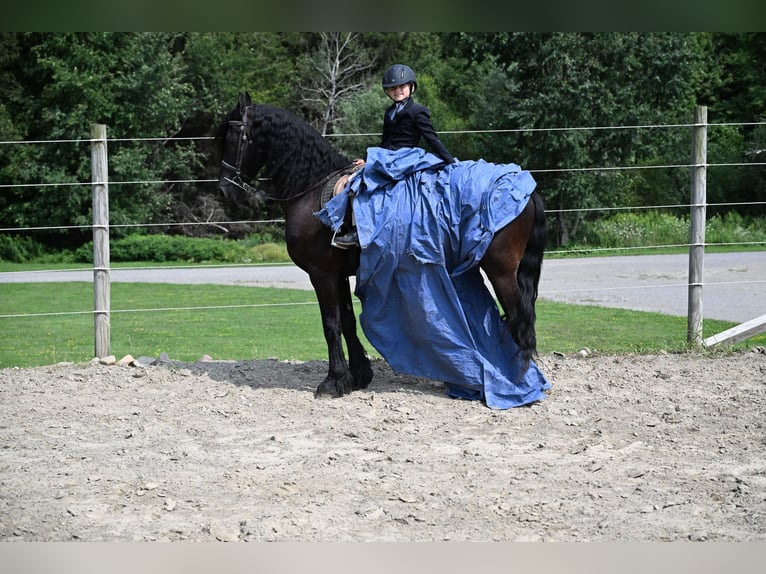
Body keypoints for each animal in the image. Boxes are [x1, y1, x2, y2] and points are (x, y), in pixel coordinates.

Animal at [214, 93, 545, 401]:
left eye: (233, 136)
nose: (224, 191)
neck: (311, 191)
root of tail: (525, 189)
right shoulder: (337, 274)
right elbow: (347, 321)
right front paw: (357, 375)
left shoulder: (321, 274)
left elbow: (330, 324)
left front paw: (333, 381)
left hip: (501, 272)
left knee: (520, 318)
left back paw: (516, 384)